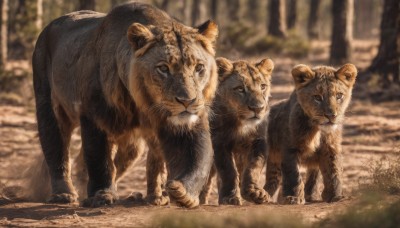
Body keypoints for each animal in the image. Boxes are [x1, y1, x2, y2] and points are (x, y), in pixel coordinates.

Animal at [31, 2, 219, 208]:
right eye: (163, 68)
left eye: (199, 67)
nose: (187, 101)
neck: (143, 103)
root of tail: (49, 26)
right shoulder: (94, 117)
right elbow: (99, 160)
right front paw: (102, 195)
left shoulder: (190, 121)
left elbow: (198, 157)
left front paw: (184, 193)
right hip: (49, 104)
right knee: (56, 148)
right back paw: (63, 194)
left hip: (132, 146)